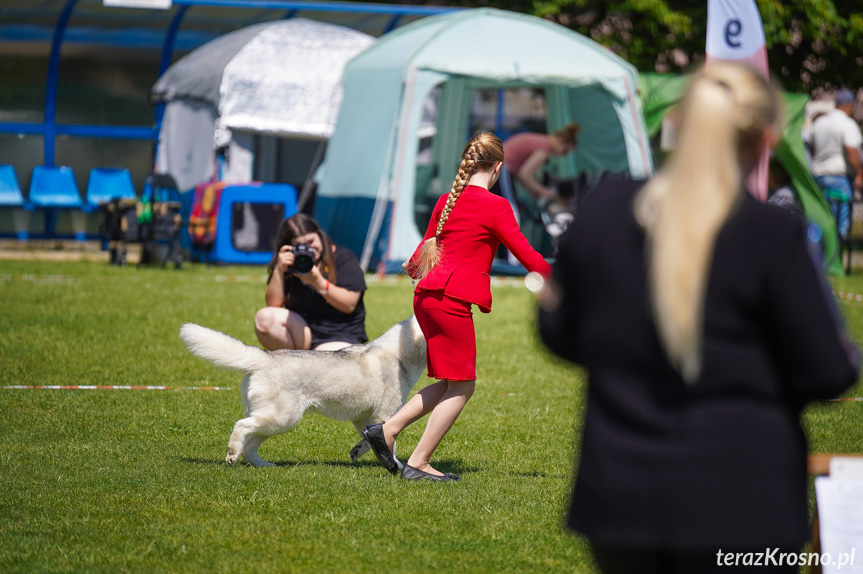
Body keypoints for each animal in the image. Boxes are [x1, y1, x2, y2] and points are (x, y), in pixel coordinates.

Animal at [180, 318, 428, 470]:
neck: (400, 356)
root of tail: (265, 356)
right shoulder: (384, 415)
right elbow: (389, 442)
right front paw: (395, 466)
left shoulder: (362, 418)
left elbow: (369, 439)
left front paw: (358, 452)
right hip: (283, 419)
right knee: (241, 426)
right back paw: (233, 454)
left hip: (276, 421)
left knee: (250, 446)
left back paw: (263, 465)